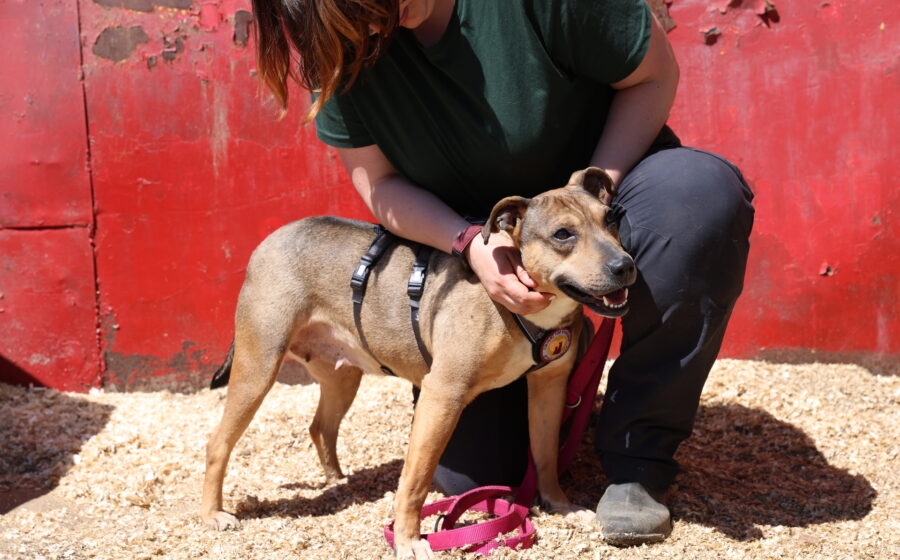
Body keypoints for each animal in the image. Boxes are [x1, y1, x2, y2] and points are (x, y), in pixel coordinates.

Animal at [200, 167, 636, 559]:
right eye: (563, 234)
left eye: (611, 220)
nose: (625, 266)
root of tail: (271, 239)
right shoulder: (441, 396)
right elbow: (417, 478)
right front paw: (409, 540)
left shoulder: (550, 387)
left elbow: (545, 454)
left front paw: (559, 504)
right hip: (258, 368)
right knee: (218, 442)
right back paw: (213, 514)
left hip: (343, 377)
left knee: (320, 426)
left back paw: (339, 480)